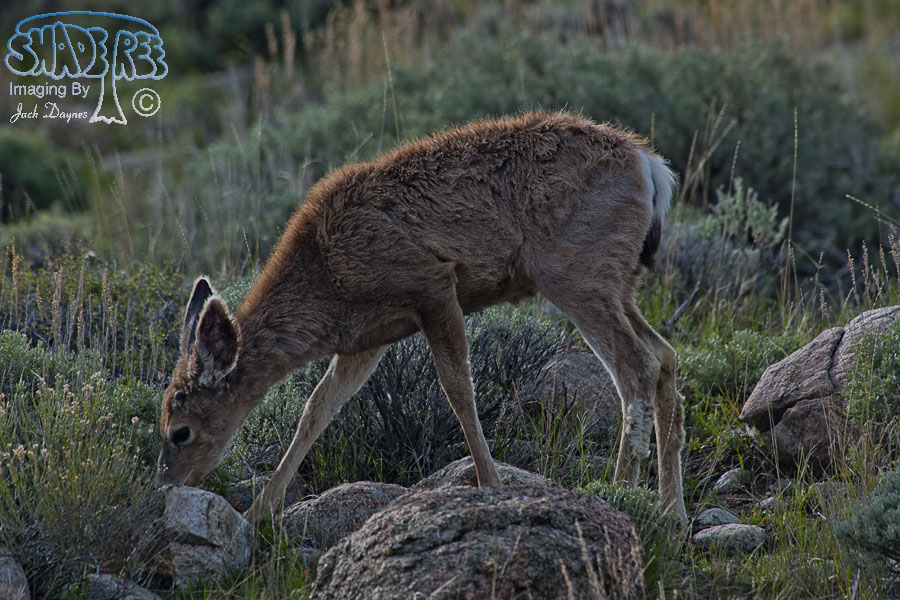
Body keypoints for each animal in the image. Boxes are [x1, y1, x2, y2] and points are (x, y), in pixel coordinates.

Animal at [155, 110, 687, 525]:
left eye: (180, 430)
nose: (166, 486)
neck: (328, 279)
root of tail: (651, 166)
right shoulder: (365, 339)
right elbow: (317, 410)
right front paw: (258, 511)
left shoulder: (432, 283)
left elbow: (457, 389)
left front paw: (490, 485)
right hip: (616, 281)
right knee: (665, 356)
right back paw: (670, 510)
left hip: (577, 272)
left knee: (635, 368)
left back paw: (620, 493)